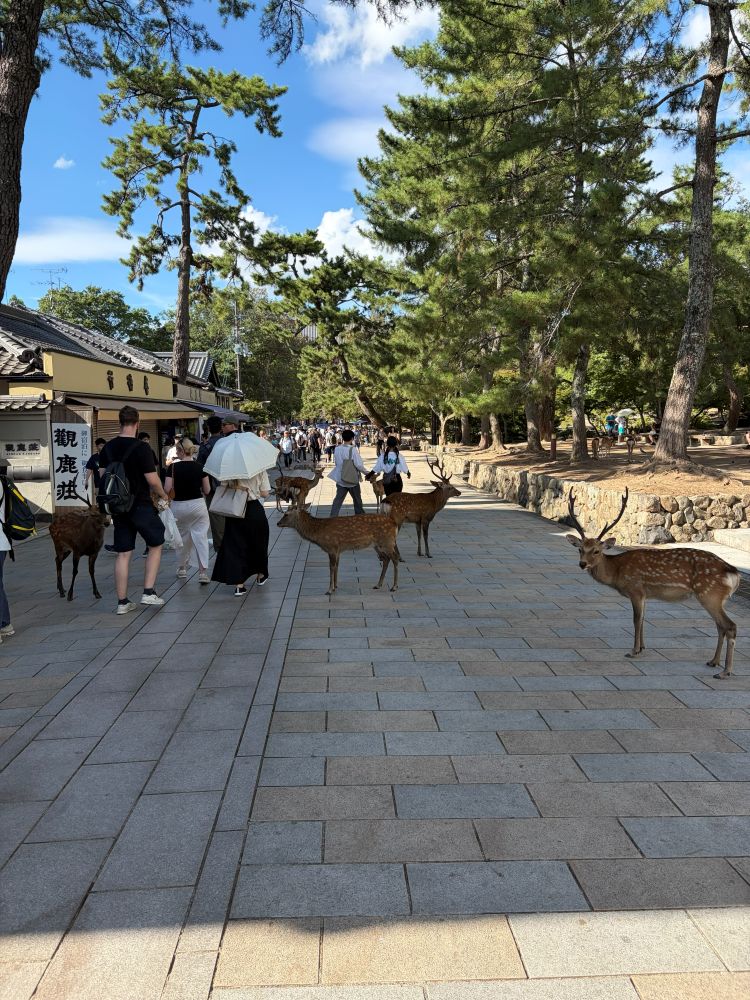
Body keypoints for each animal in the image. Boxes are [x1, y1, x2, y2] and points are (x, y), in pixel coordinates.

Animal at [566, 487, 740, 679]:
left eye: (596, 551)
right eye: (580, 549)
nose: (582, 564)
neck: (617, 571)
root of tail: (733, 572)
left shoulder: (635, 589)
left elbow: (636, 619)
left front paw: (633, 651)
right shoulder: (645, 595)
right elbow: (643, 619)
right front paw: (642, 647)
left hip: (710, 594)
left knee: (730, 626)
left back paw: (725, 671)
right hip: (717, 598)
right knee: (720, 626)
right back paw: (713, 662)